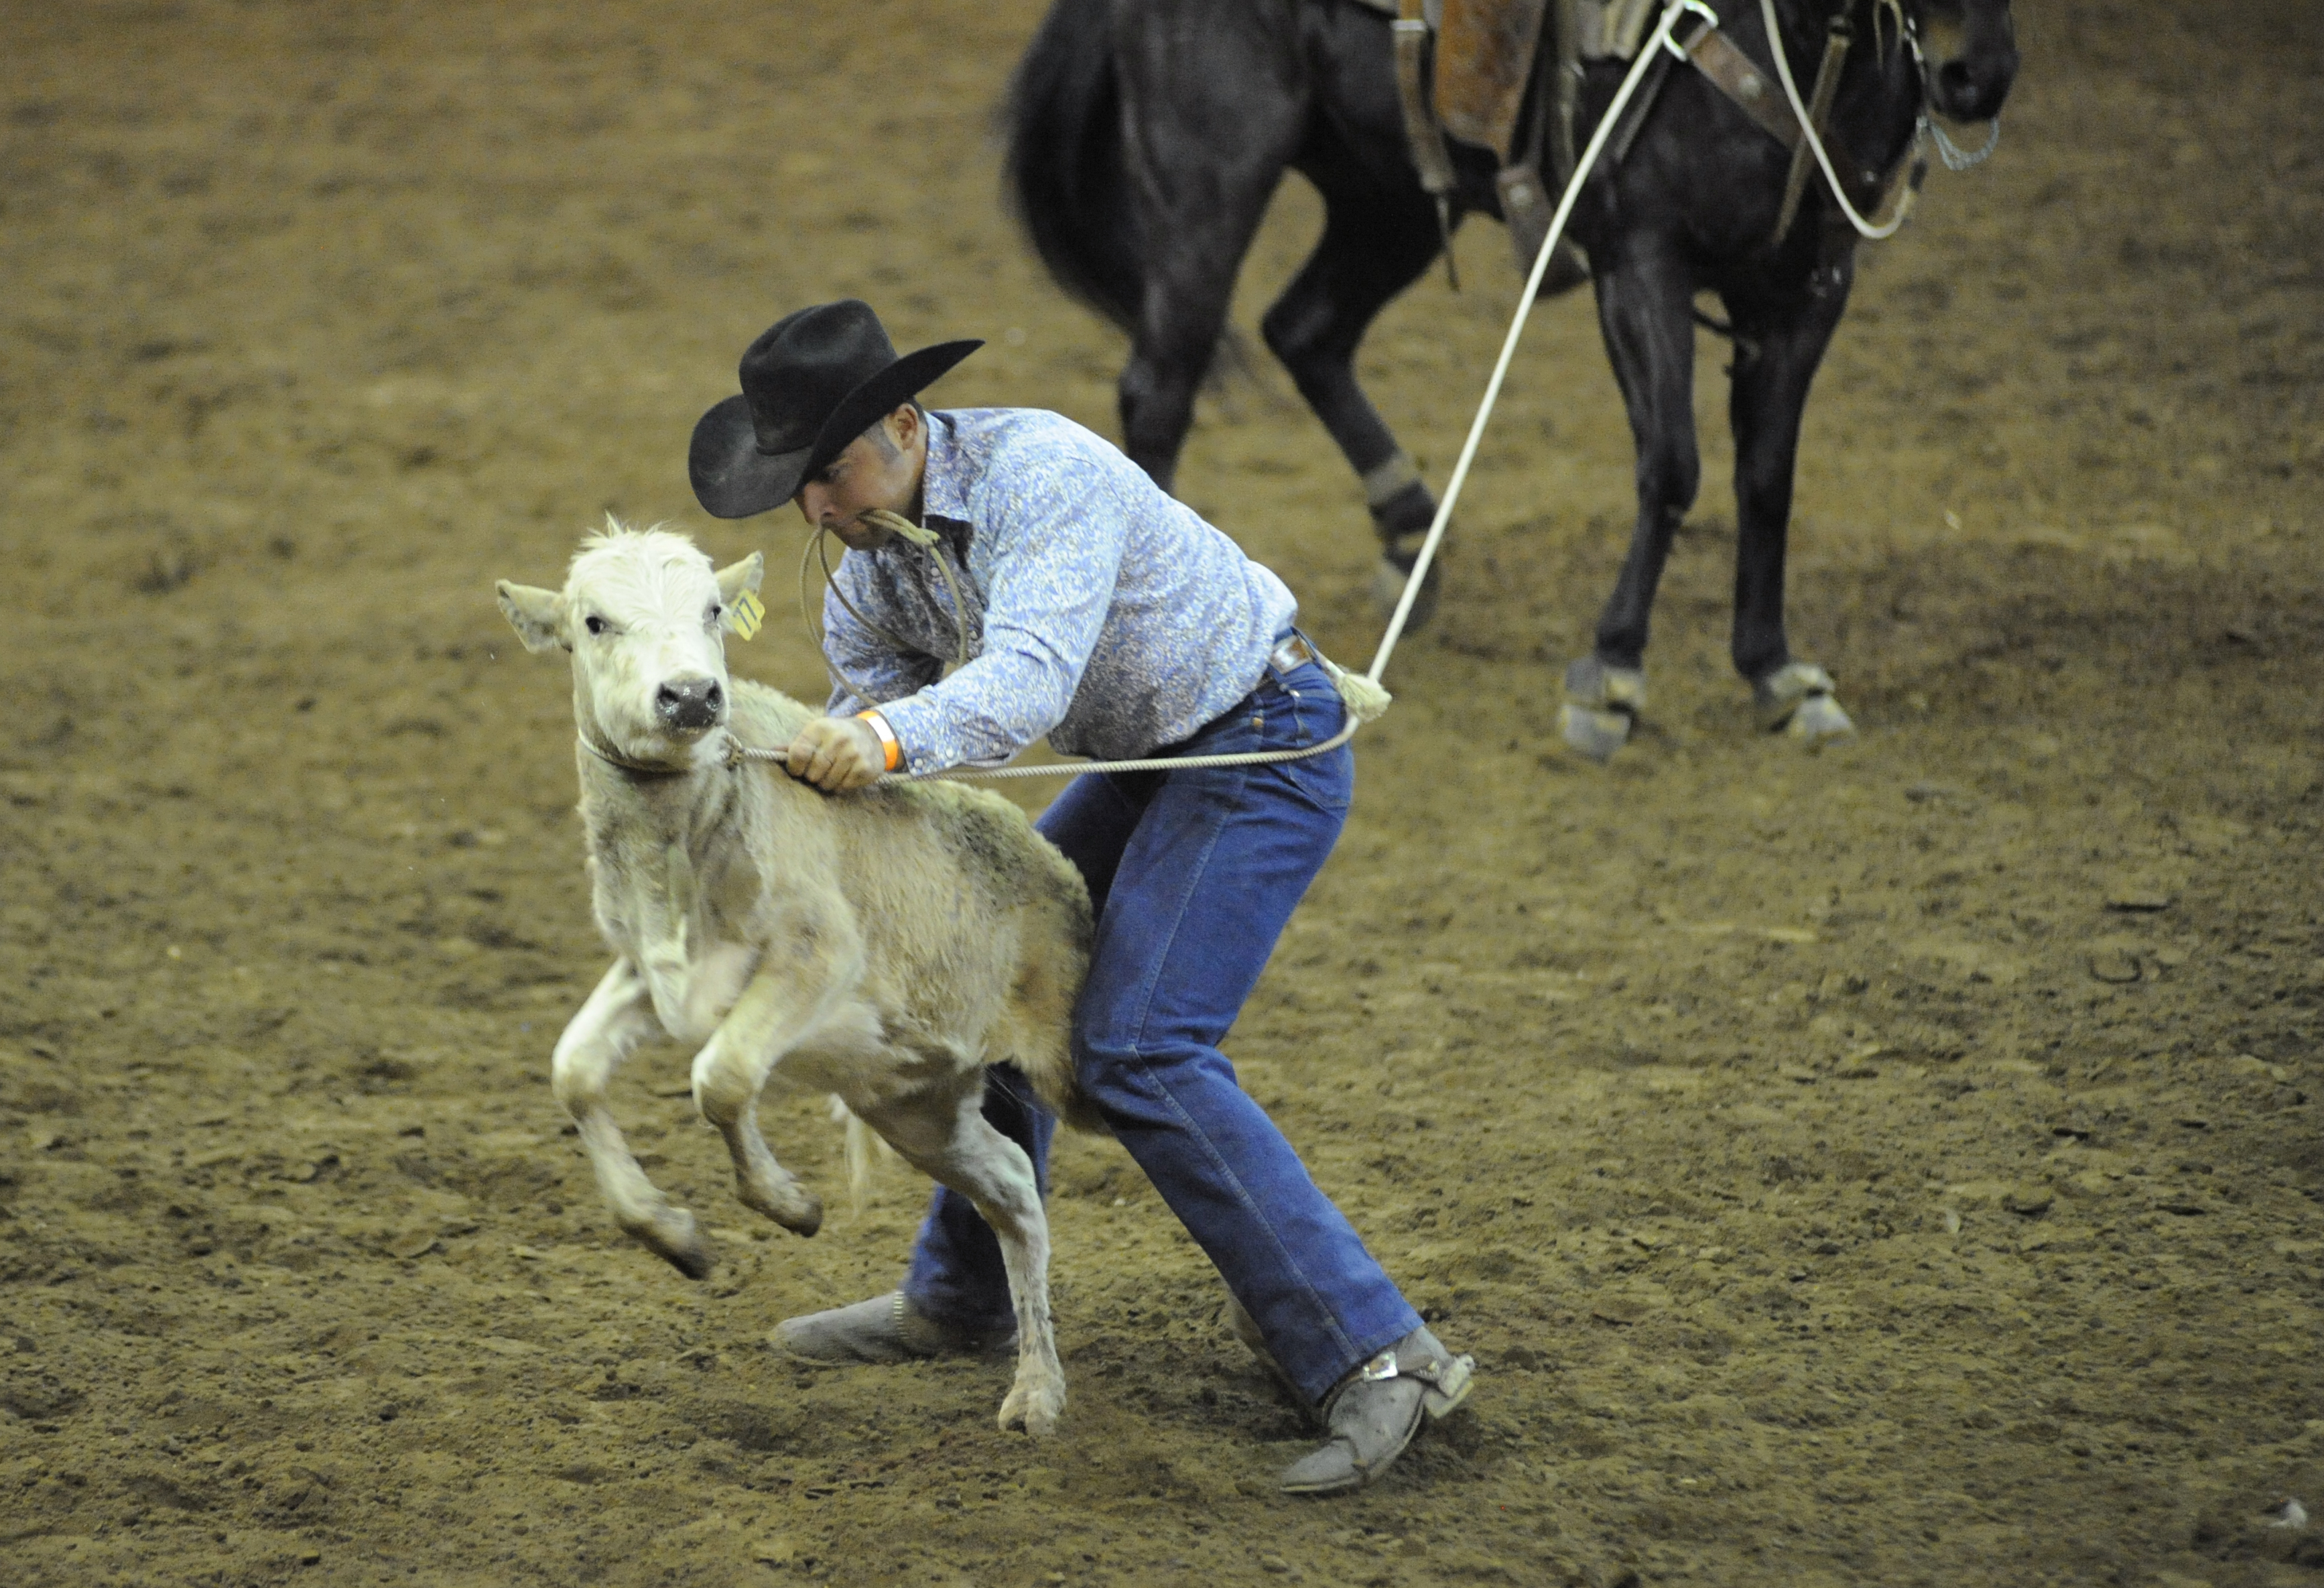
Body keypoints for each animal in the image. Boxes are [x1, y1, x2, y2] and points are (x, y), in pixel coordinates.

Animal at [495, 521, 1092, 1435]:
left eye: (713, 609)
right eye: (594, 621)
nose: (691, 695)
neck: (688, 834)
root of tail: (1049, 859)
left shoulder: (815, 958)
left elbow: (722, 1079)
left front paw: (787, 1203)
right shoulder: (654, 974)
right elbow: (575, 1070)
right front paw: (672, 1234)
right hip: (915, 1102)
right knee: (1013, 1189)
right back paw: (1035, 1390)